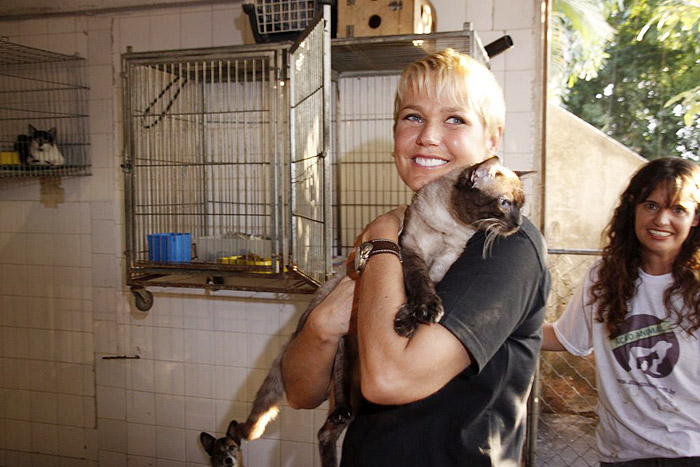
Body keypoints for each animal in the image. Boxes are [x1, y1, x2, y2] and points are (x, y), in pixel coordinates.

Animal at [200, 156, 524, 467]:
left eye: (521, 206)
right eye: (505, 204)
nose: (518, 224)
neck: (452, 226)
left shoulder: (446, 262)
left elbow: (425, 291)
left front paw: (412, 320)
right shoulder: (410, 249)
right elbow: (416, 286)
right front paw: (416, 316)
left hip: (359, 393)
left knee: (326, 431)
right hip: (343, 353)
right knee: (332, 406)